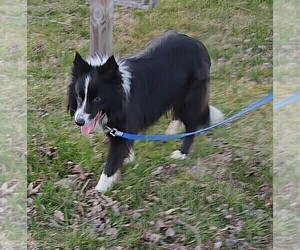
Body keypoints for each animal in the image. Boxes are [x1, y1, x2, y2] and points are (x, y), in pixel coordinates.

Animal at [68, 30, 223, 191]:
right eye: (79, 96)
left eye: (97, 99)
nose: (79, 121)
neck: (118, 95)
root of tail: (198, 44)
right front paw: (128, 158)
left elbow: (113, 159)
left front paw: (100, 189)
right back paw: (172, 131)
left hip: (191, 96)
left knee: (192, 124)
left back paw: (182, 153)